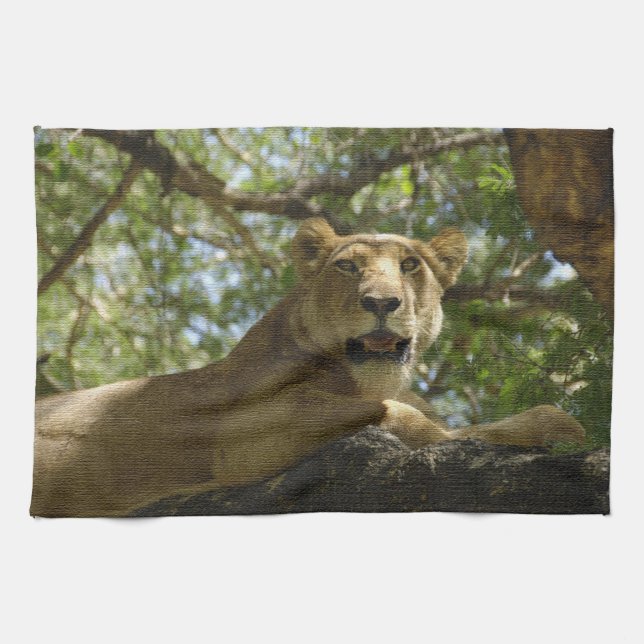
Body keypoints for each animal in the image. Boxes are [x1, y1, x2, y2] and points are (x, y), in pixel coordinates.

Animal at [31, 217, 585, 516]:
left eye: (410, 265)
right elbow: (409, 421)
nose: (381, 302)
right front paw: (550, 426)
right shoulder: (236, 441)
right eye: (347, 266)